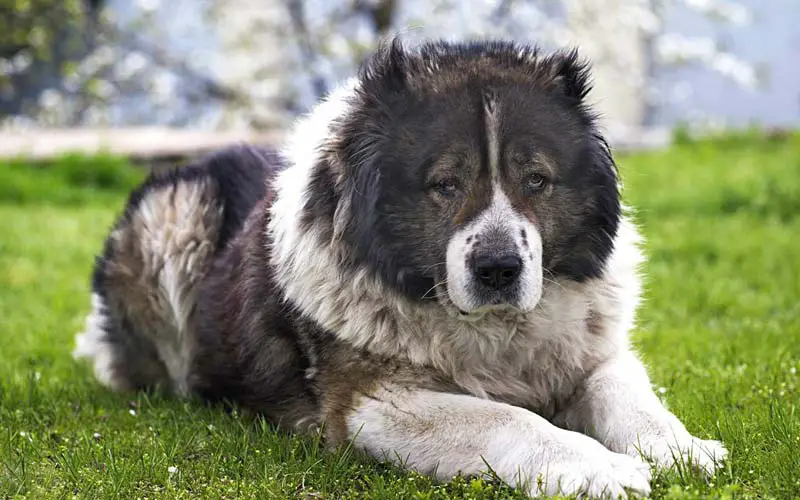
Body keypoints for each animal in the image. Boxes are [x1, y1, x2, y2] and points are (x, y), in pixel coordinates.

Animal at [72, 38, 728, 496]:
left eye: (536, 180)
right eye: (444, 183)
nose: (498, 269)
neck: (495, 335)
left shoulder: (594, 353)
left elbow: (628, 395)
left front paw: (682, 449)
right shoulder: (372, 404)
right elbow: (509, 418)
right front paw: (594, 467)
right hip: (175, 217)